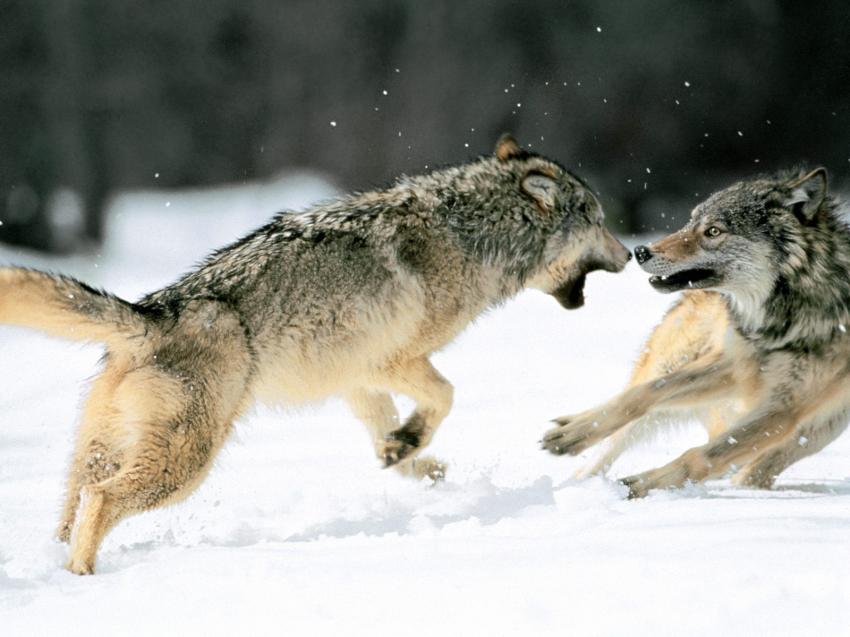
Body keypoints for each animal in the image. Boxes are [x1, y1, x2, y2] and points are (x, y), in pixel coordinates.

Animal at [0, 135, 630, 573]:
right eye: (599, 220)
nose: (630, 255)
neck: (471, 234)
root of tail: (153, 311)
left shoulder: (354, 377)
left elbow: (386, 434)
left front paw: (407, 455)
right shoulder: (392, 361)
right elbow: (447, 395)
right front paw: (412, 446)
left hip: (101, 453)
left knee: (73, 509)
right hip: (183, 467)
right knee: (102, 501)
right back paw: (85, 576)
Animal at [542, 167, 850, 497]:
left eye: (713, 231)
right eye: (691, 222)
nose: (640, 251)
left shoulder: (785, 407)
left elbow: (702, 456)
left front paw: (642, 485)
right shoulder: (734, 364)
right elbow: (647, 392)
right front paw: (572, 434)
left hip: (822, 427)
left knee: (754, 468)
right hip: (676, 362)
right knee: (616, 437)